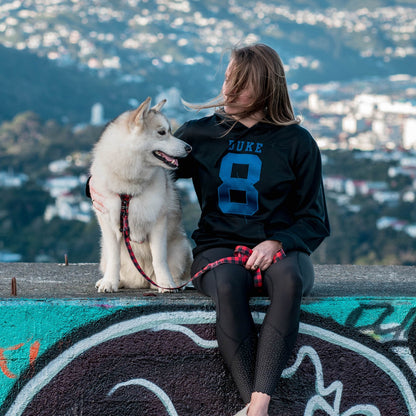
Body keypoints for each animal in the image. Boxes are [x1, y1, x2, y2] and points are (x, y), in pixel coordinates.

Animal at [90, 97, 193, 292]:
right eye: (162, 132)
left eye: (170, 131)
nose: (189, 147)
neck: (129, 187)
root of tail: (142, 281)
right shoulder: (109, 224)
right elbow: (114, 259)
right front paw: (109, 282)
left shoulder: (158, 222)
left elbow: (159, 258)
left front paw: (166, 283)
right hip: (103, 251)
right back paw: (117, 280)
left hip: (182, 247)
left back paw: (174, 282)